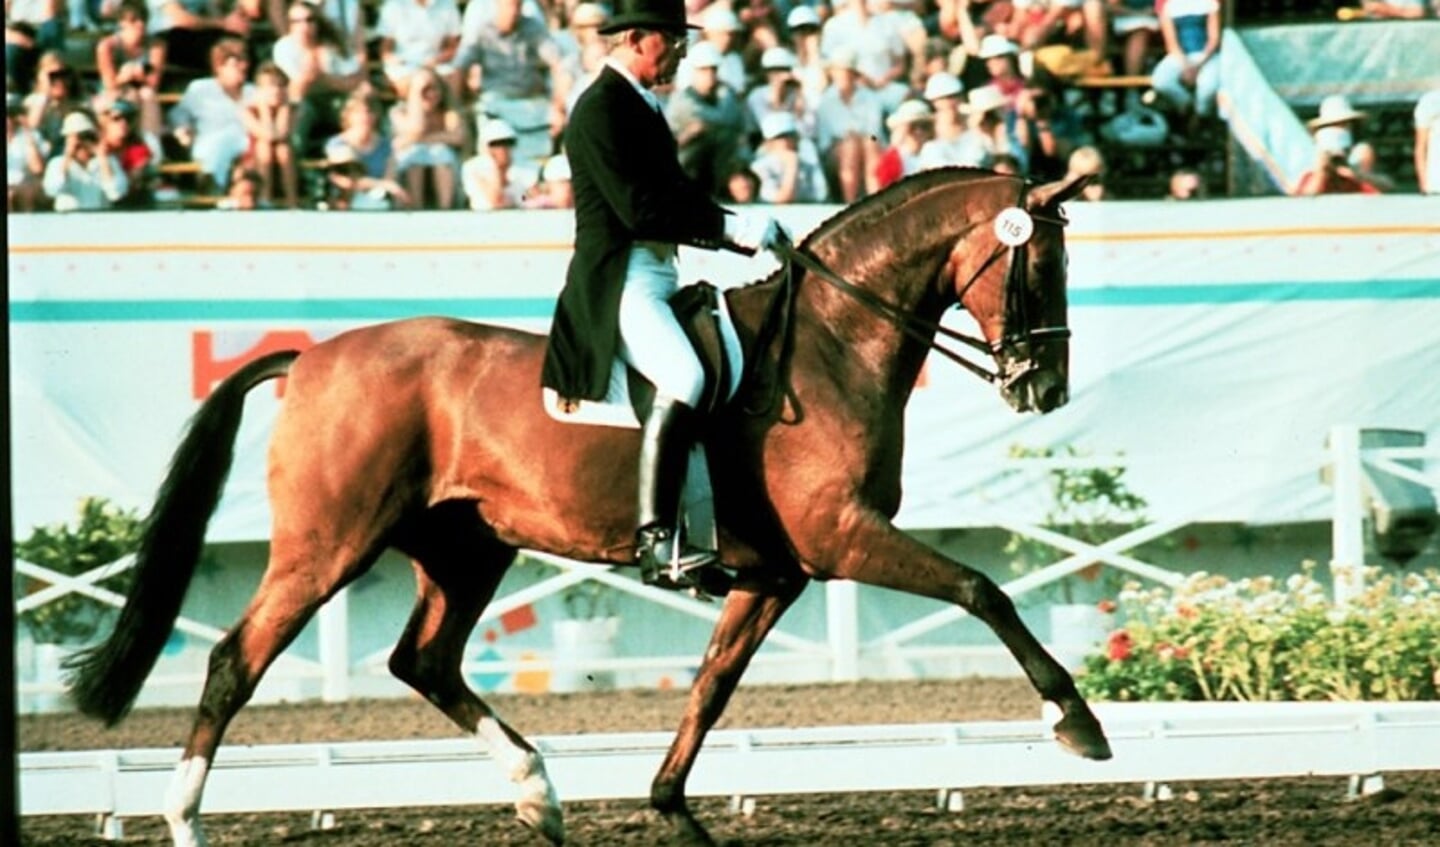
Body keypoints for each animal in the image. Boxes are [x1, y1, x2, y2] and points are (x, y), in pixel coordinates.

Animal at [67, 167, 1105, 847]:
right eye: (1041, 266)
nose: (1046, 388)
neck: (830, 342)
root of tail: (315, 356)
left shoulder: (773, 576)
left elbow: (710, 688)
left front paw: (670, 807)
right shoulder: (844, 539)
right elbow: (981, 589)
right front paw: (1075, 722)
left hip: (466, 548)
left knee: (424, 660)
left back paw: (539, 793)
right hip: (329, 543)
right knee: (235, 661)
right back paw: (185, 818)